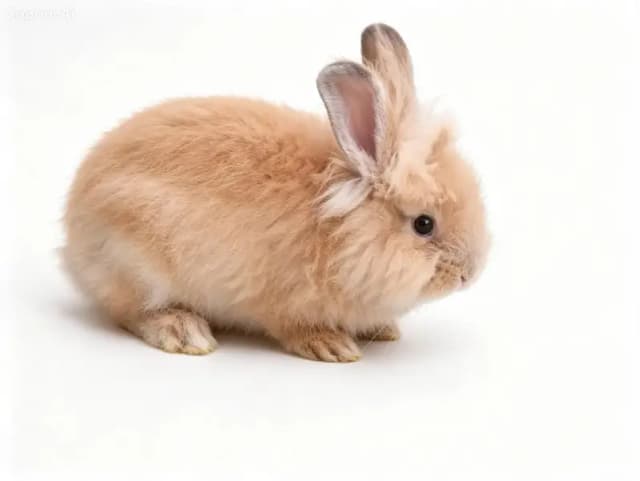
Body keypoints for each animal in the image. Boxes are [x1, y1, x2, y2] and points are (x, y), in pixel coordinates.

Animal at [62, 23, 490, 362]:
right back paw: (185, 331)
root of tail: (72, 232)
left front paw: (384, 329)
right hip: (136, 263)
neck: (341, 233)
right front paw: (332, 346)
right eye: (423, 224)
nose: (469, 274)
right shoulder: (282, 301)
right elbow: (294, 326)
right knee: (131, 312)